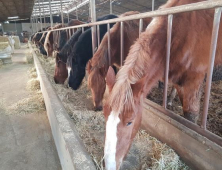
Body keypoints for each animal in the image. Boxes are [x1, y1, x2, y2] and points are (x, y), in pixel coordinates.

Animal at [103, 0, 222, 169]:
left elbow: (190, 116)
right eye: (105, 115)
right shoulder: (178, 79)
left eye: (130, 122)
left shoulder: (194, 81)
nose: (110, 165)